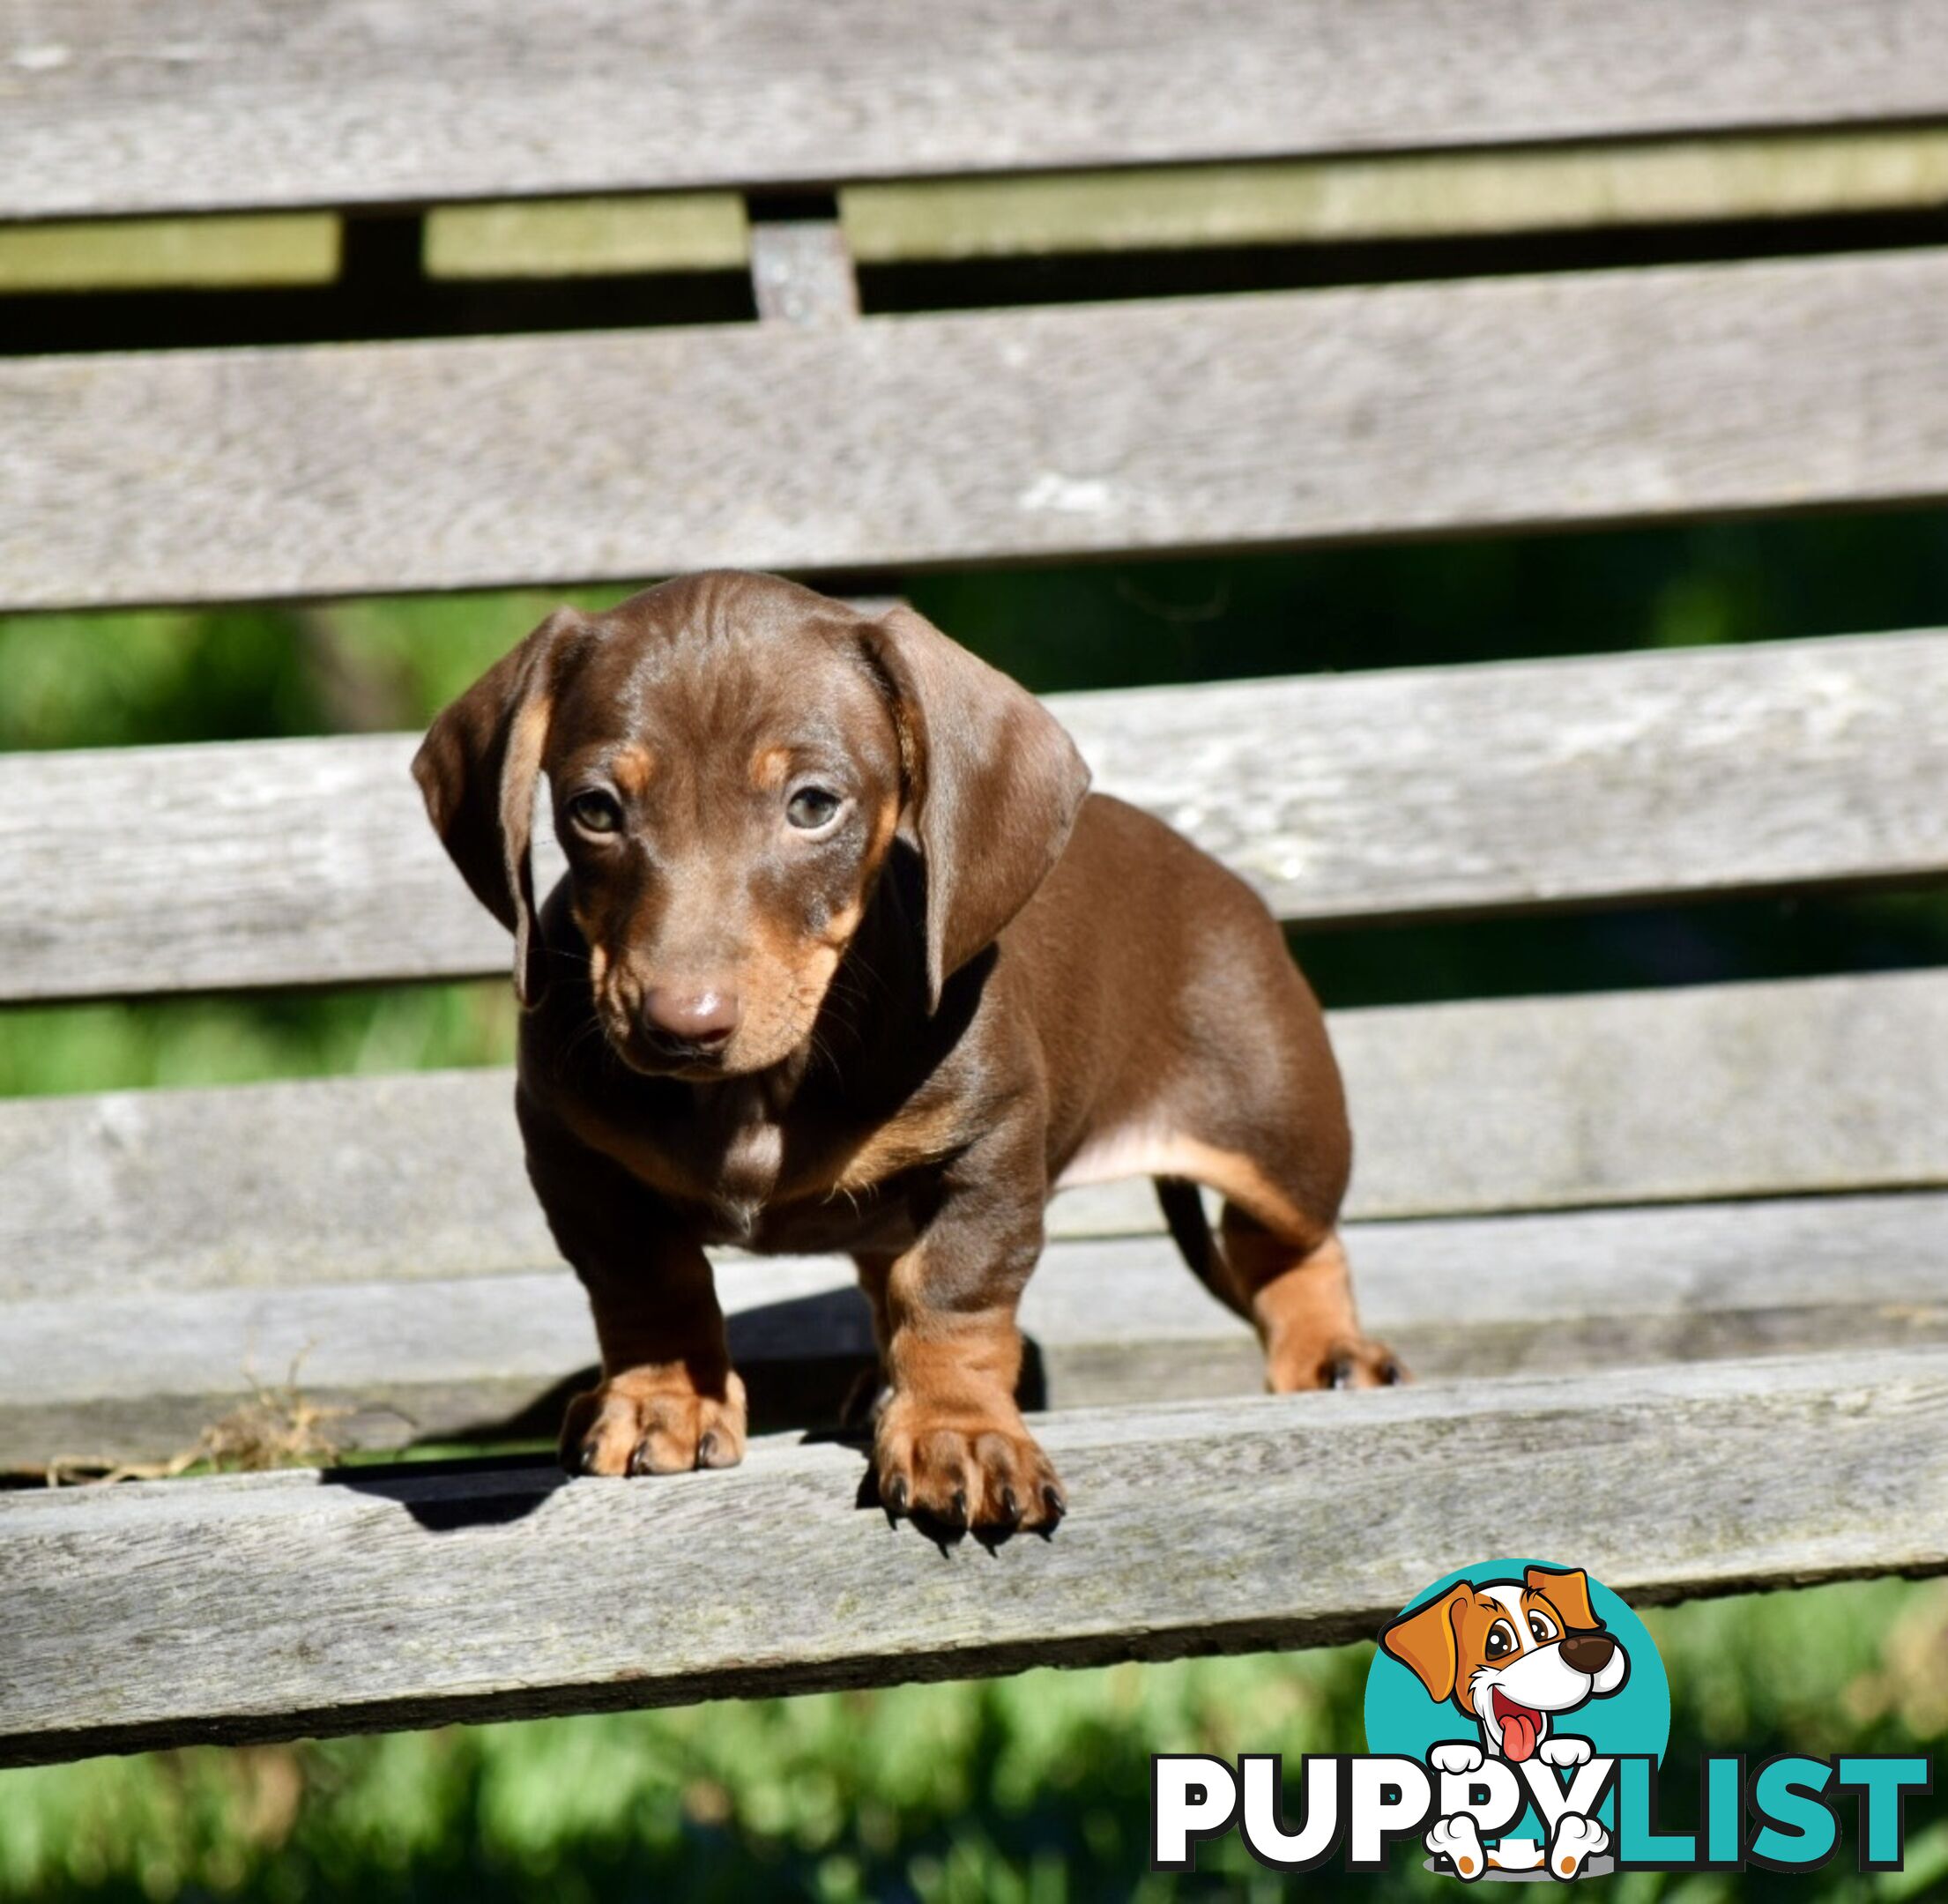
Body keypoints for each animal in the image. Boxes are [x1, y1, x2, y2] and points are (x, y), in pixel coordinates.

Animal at [419, 569, 1402, 1528]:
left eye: (813, 805)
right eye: (594, 809)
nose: (679, 1026)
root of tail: (1216, 873)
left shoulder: (989, 1154)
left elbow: (952, 1298)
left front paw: (955, 1432)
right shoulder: (572, 1153)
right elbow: (646, 1281)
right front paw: (663, 1399)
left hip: (1277, 1130)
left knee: (1294, 1245)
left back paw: (1329, 1353)